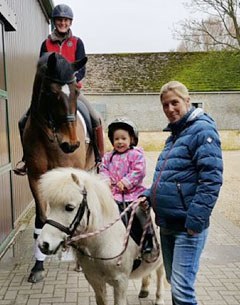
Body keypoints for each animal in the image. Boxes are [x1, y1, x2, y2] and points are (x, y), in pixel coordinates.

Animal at [22, 52, 95, 282]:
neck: (50, 140)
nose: (71, 144)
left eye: (76, 91)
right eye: (51, 92)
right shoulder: (35, 178)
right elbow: (41, 219)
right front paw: (38, 266)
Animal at [38, 166, 165, 304]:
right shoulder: (94, 280)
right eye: (51, 206)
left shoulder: (121, 283)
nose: (43, 244)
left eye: (69, 207)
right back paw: (144, 289)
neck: (103, 242)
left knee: (160, 273)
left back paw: (159, 299)